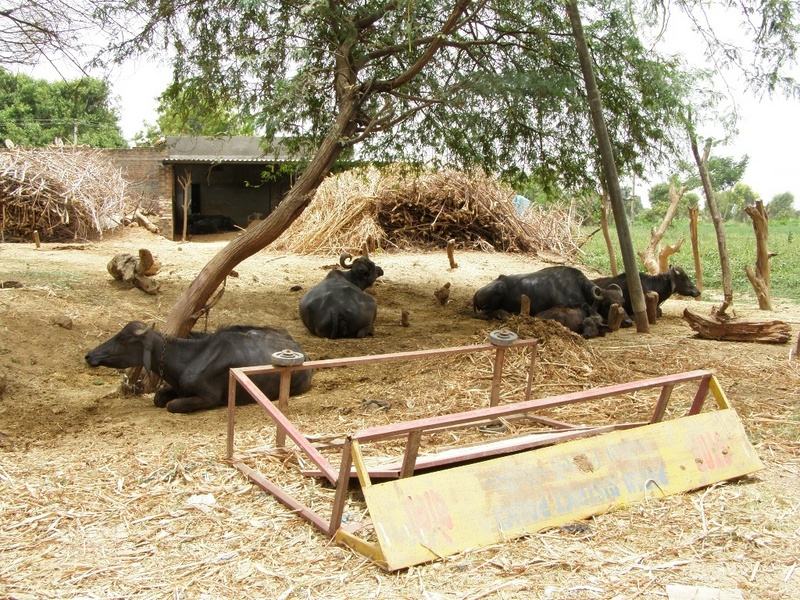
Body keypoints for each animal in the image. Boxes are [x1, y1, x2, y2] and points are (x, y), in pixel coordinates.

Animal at [85, 324, 312, 412]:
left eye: (123, 338)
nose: (90, 355)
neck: (189, 358)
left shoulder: (208, 398)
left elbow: (171, 405)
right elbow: (159, 397)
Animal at [472, 266, 628, 322]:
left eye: (622, 302)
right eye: (608, 304)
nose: (628, 321)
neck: (578, 286)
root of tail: (477, 292)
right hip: (498, 292)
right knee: (487, 312)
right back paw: (503, 315)